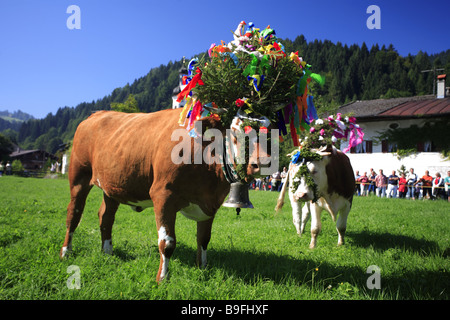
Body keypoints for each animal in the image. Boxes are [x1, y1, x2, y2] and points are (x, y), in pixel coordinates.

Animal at [59, 108, 270, 282]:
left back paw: (107, 252)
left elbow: (203, 239)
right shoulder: (163, 196)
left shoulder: (210, 204)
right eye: (236, 134)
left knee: (106, 217)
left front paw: (202, 268)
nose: (263, 163)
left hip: (112, 186)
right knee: (74, 214)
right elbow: (167, 242)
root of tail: (96, 114)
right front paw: (162, 278)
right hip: (79, 177)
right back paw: (65, 252)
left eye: (269, 137)